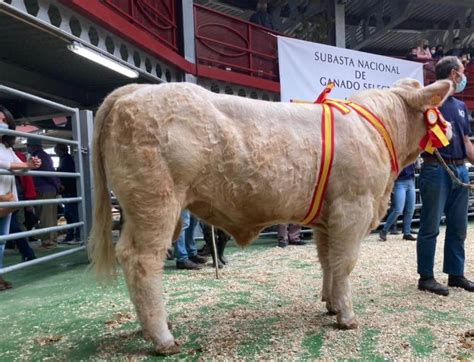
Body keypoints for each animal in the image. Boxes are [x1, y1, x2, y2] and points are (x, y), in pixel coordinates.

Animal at [88, 78, 452, 354]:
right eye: (435, 112)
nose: (449, 129)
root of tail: (135, 90)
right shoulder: (353, 207)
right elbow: (345, 264)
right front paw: (347, 316)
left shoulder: (327, 218)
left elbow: (328, 261)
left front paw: (331, 304)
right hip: (156, 203)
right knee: (141, 260)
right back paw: (163, 338)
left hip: (143, 208)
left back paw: (153, 326)